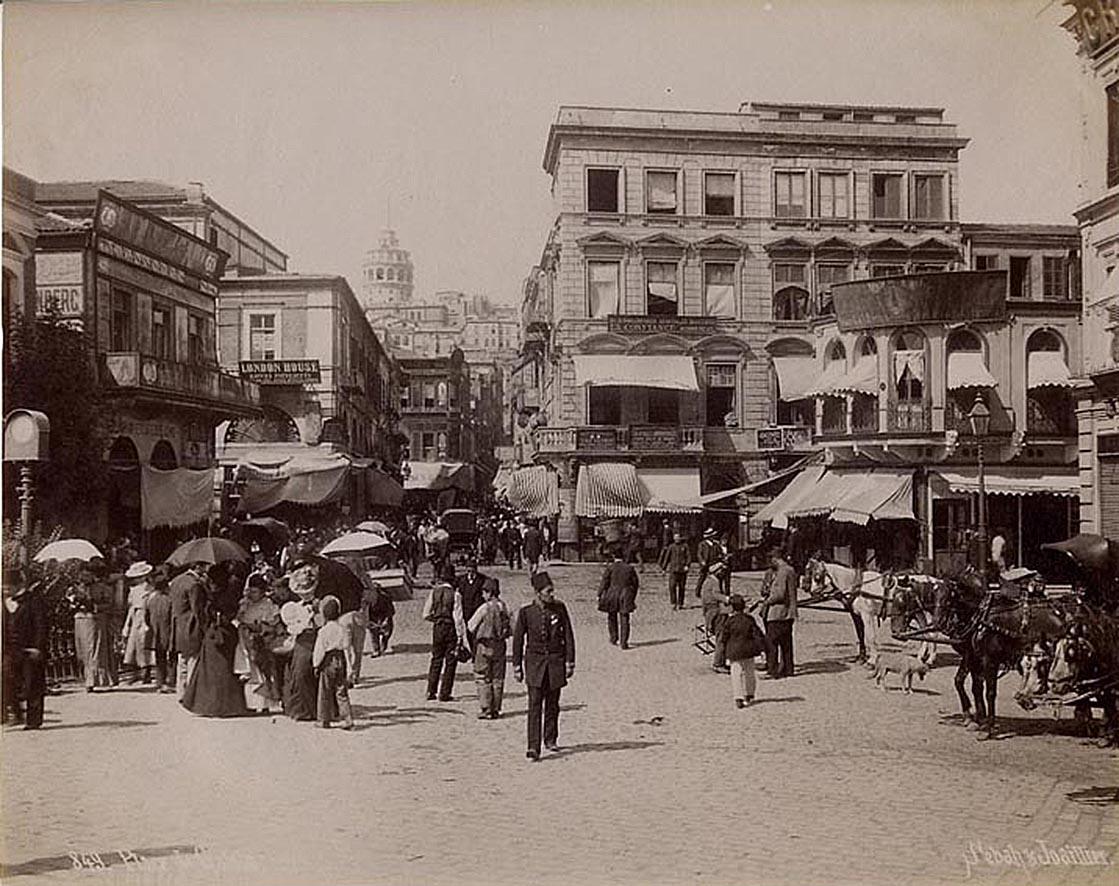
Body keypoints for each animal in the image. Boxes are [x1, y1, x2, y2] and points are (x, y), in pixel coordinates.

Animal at [890, 568, 1065, 742]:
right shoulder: (972, 655)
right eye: (892, 600)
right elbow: (968, 684)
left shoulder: (989, 660)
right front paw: (976, 718)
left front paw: (986, 727)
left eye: (902, 601)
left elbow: (988, 692)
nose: (895, 632)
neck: (979, 616)